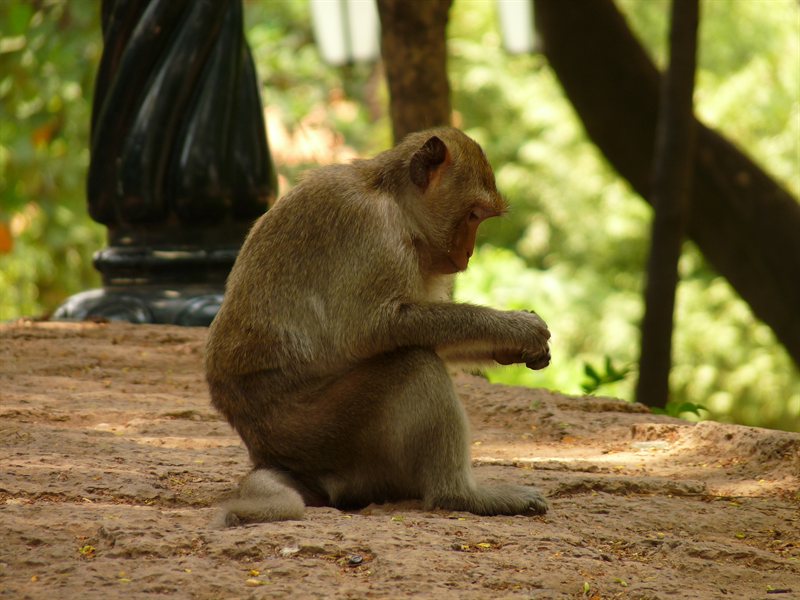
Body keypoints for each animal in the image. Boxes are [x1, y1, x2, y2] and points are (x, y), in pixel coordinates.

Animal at [205, 127, 551, 525]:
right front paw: (518, 328)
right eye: (473, 214)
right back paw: (461, 495)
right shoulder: (370, 227)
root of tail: (270, 454)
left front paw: (516, 346)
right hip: (322, 432)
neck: (392, 199)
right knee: (414, 364)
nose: (468, 254)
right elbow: (375, 328)